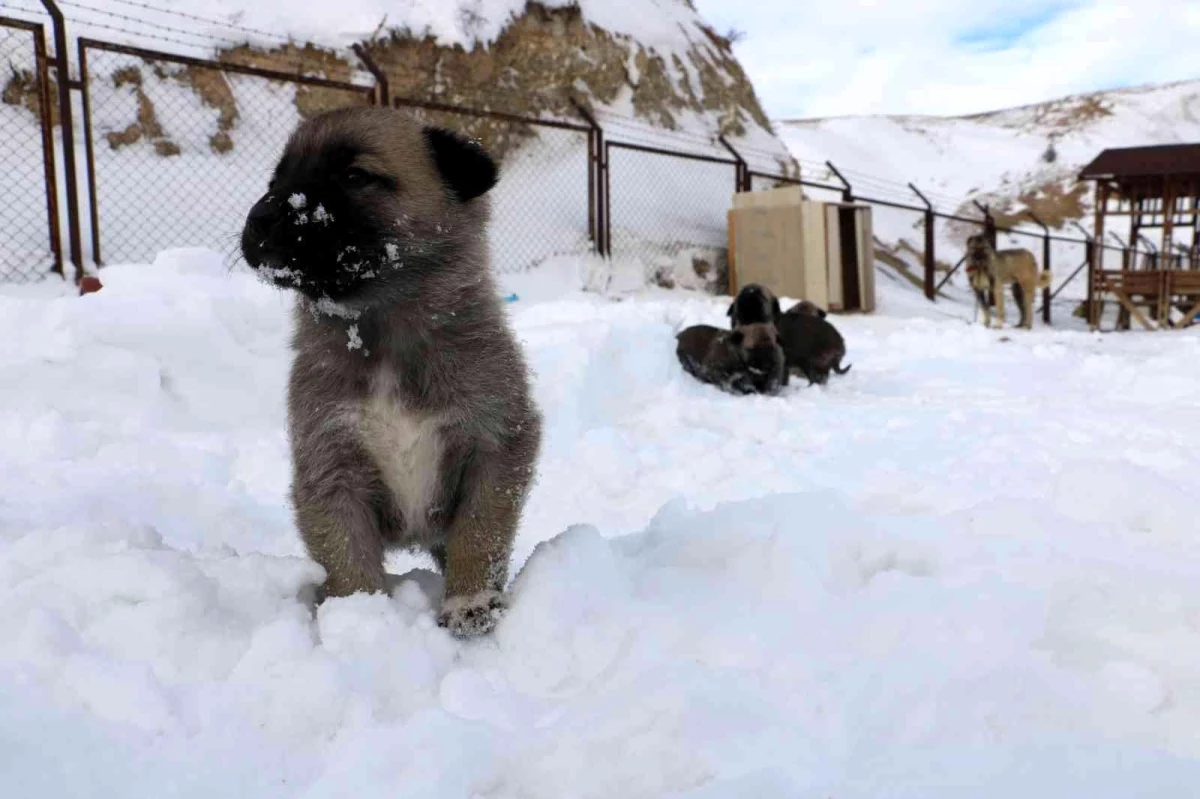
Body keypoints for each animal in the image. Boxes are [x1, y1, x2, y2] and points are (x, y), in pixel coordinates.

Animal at [238, 105, 540, 633]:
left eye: (355, 176)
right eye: (277, 180)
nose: (259, 218)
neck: (382, 335)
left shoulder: (498, 443)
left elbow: (479, 532)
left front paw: (471, 599)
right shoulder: (330, 468)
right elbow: (346, 557)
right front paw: (360, 620)